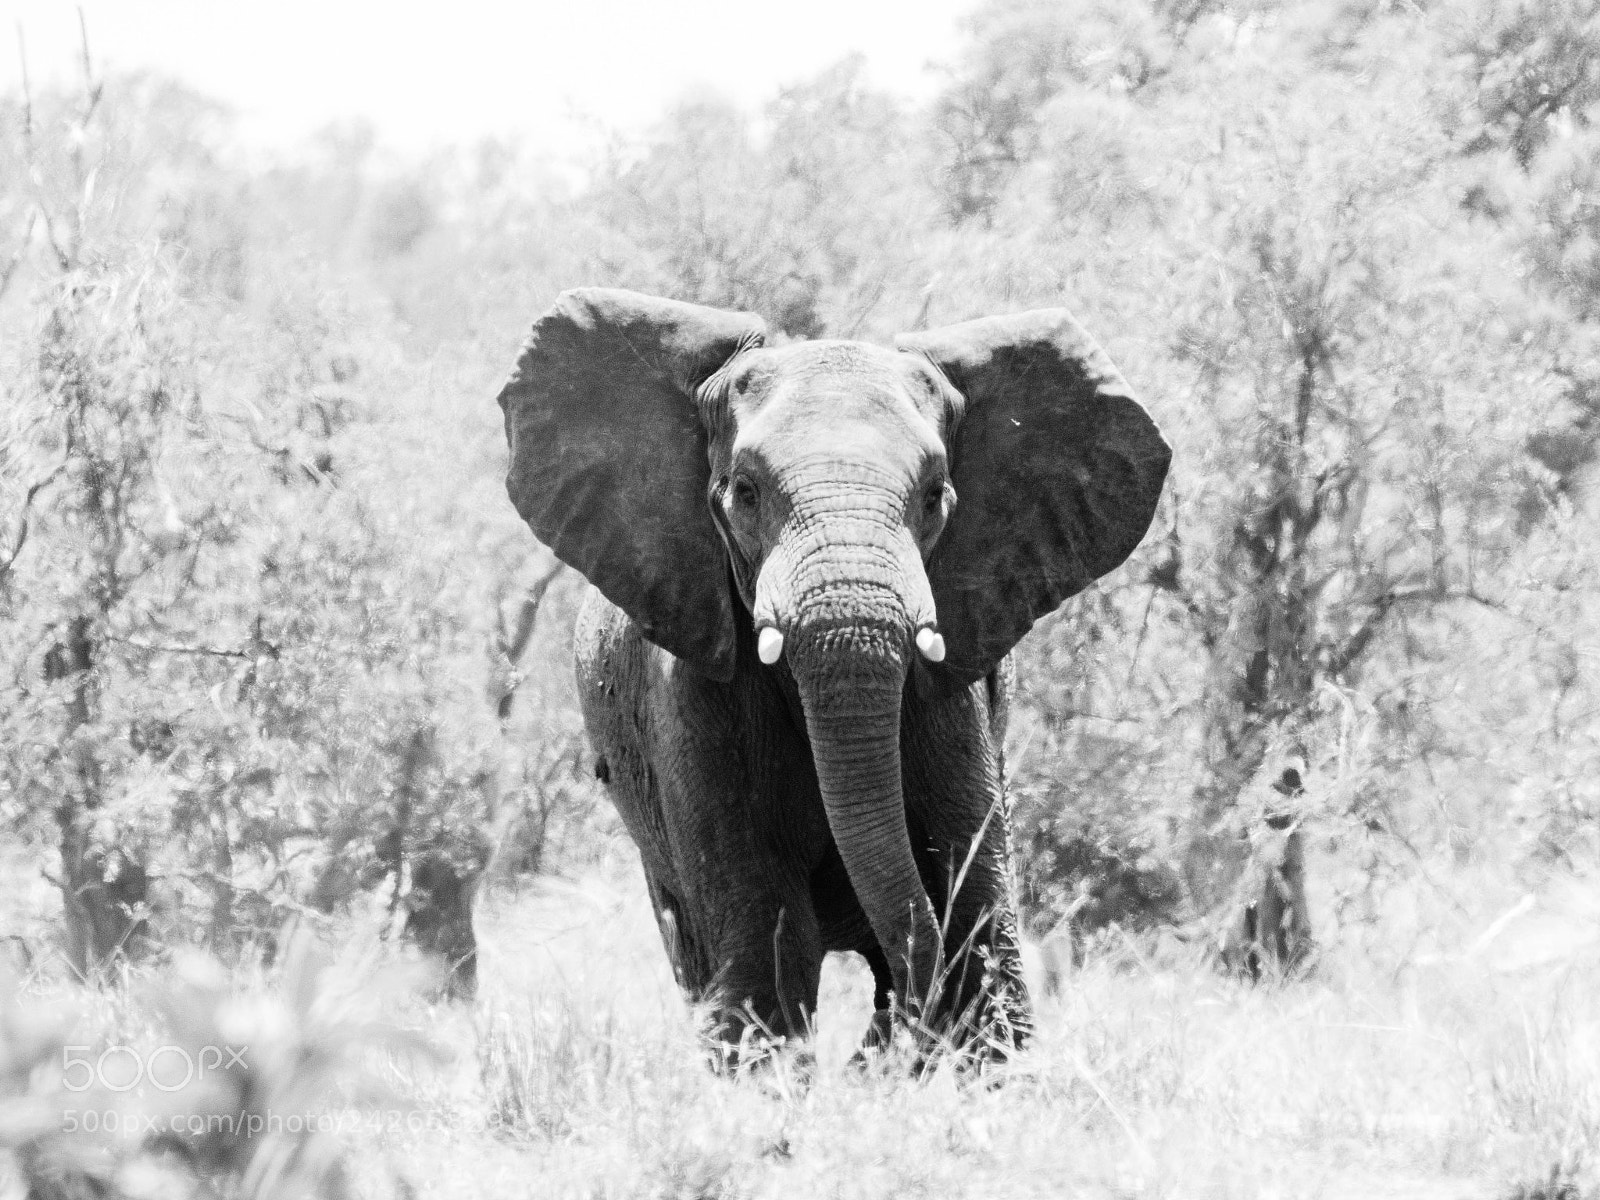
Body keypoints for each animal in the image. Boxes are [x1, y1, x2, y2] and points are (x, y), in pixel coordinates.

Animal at [495, 288, 1169, 1066]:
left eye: (935, 496)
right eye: (745, 493)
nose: (900, 1025)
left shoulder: (951, 695)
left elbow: (975, 905)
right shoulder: (692, 695)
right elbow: (766, 941)